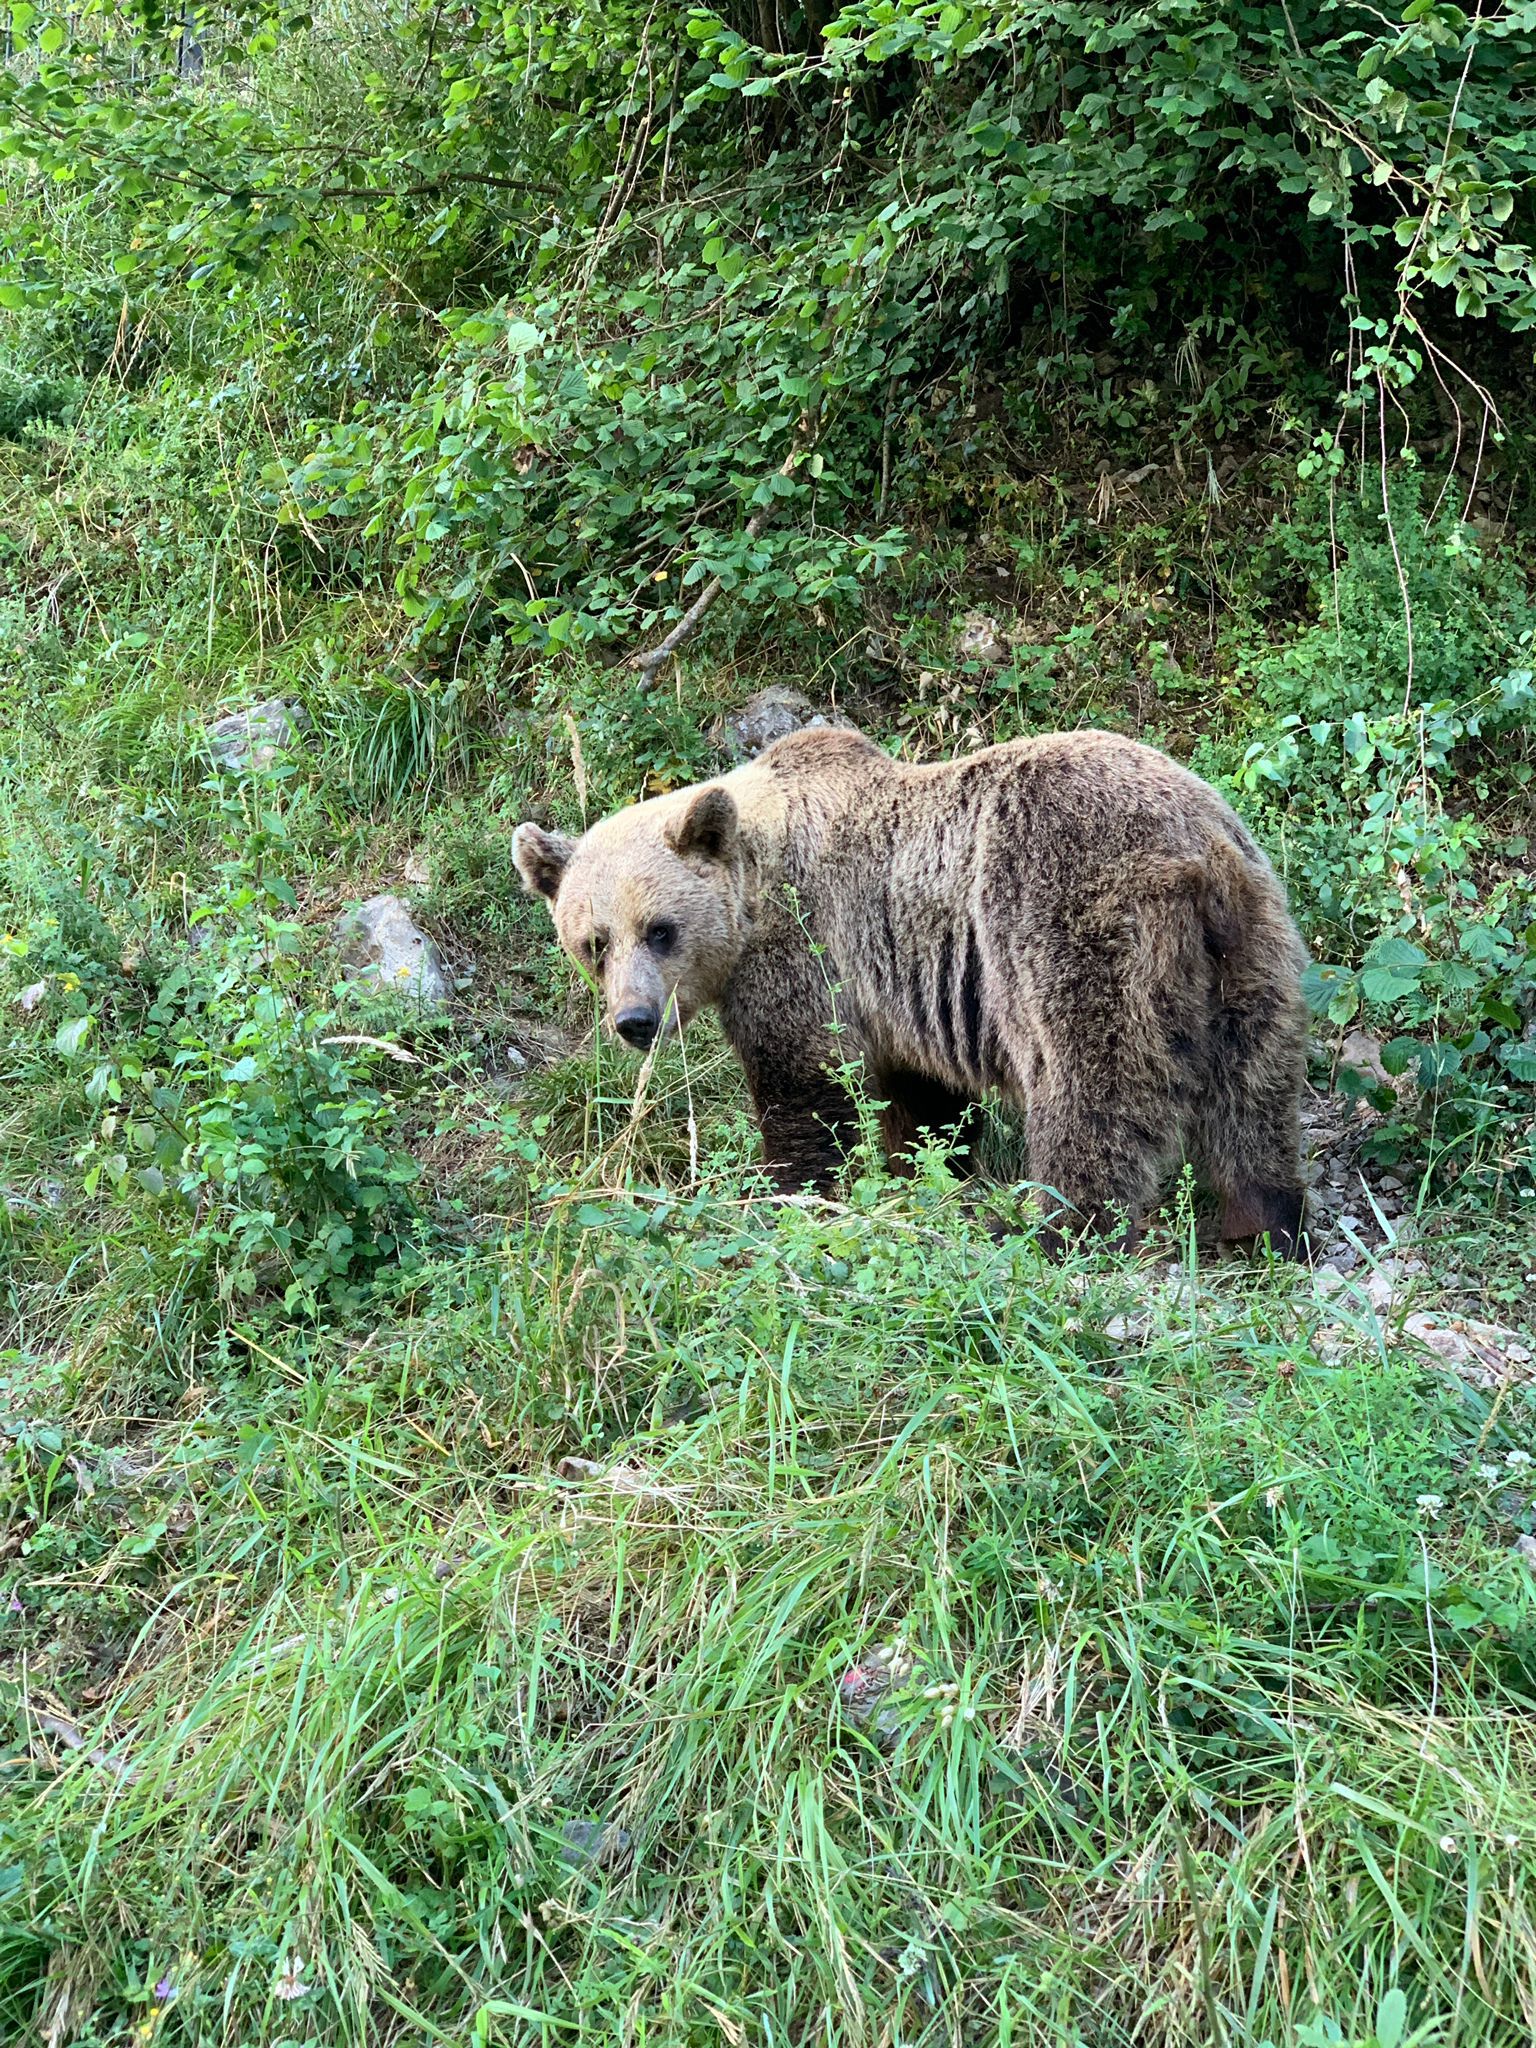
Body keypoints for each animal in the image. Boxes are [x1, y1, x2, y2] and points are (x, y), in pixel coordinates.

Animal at [518, 729, 1310, 1253]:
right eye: (593, 942)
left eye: (659, 929)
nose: (635, 1019)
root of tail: (1195, 851)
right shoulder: (904, 995)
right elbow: (928, 1102)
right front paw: (924, 1173)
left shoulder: (806, 953)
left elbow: (805, 1086)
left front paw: (784, 1191)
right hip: (1250, 942)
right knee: (1254, 1082)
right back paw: (1262, 1220)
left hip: (1071, 916)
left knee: (1092, 1085)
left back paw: (1052, 1224)